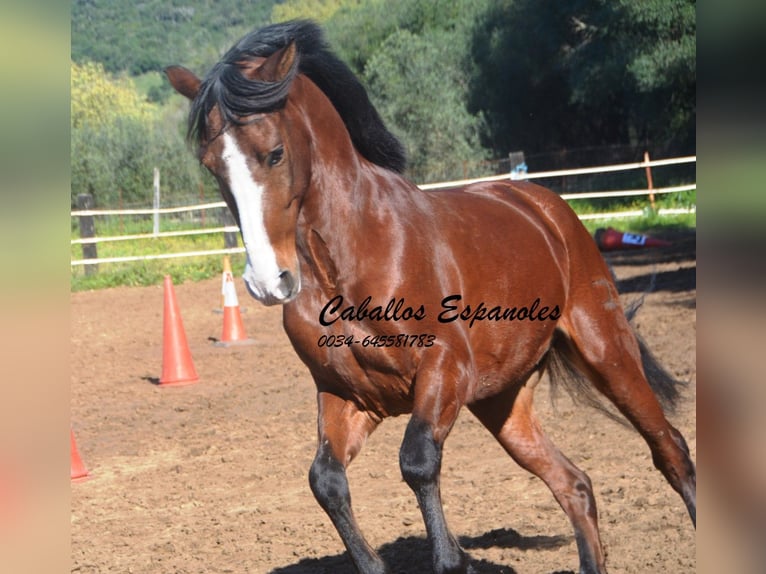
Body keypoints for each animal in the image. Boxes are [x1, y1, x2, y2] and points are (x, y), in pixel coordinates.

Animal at [166, 19, 696, 574]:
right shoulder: (348, 395)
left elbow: (417, 461)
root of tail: (544, 205)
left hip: (606, 351)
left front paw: (452, 558)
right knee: (574, 484)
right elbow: (326, 481)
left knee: (671, 451)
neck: (349, 259)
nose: (269, 281)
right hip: (505, 405)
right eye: (212, 166)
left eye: (274, 153)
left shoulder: (443, 370)